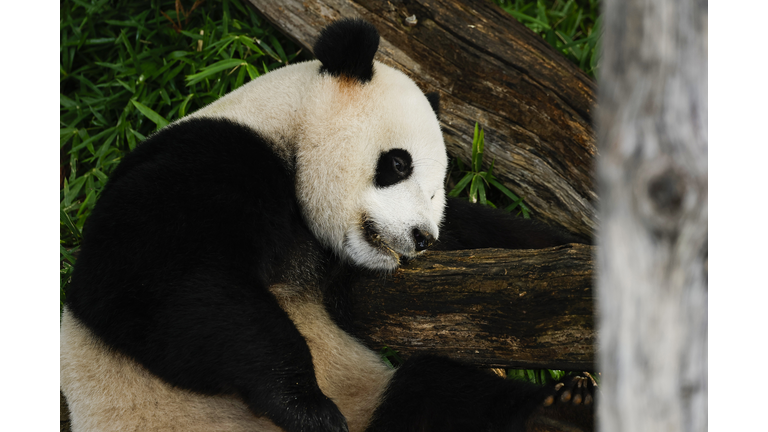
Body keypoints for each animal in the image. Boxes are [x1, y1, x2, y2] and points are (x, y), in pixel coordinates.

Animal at [63, 18, 596, 430]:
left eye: (435, 191)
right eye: (398, 163)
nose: (423, 238)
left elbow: (497, 241)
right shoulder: (210, 159)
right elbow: (152, 280)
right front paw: (305, 405)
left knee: (439, 394)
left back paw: (561, 411)